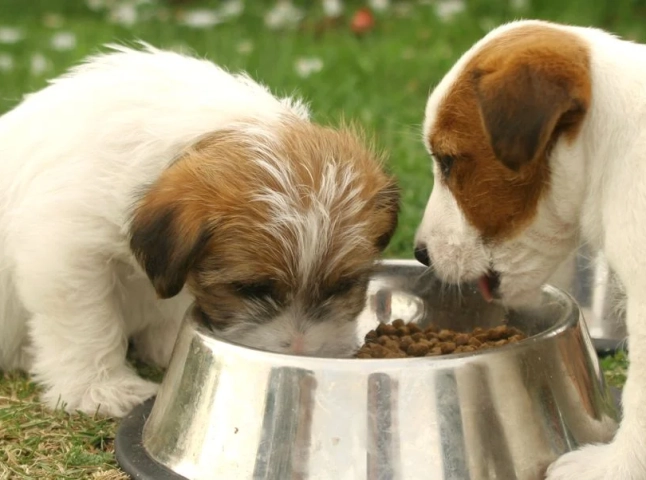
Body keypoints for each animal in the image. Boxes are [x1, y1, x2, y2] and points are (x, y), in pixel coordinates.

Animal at [0, 43, 400, 418]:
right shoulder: (67, 254)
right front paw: (101, 388)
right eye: (250, 289)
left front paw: (166, 348)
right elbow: (87, 324)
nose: (304, 351)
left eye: (343, 286)